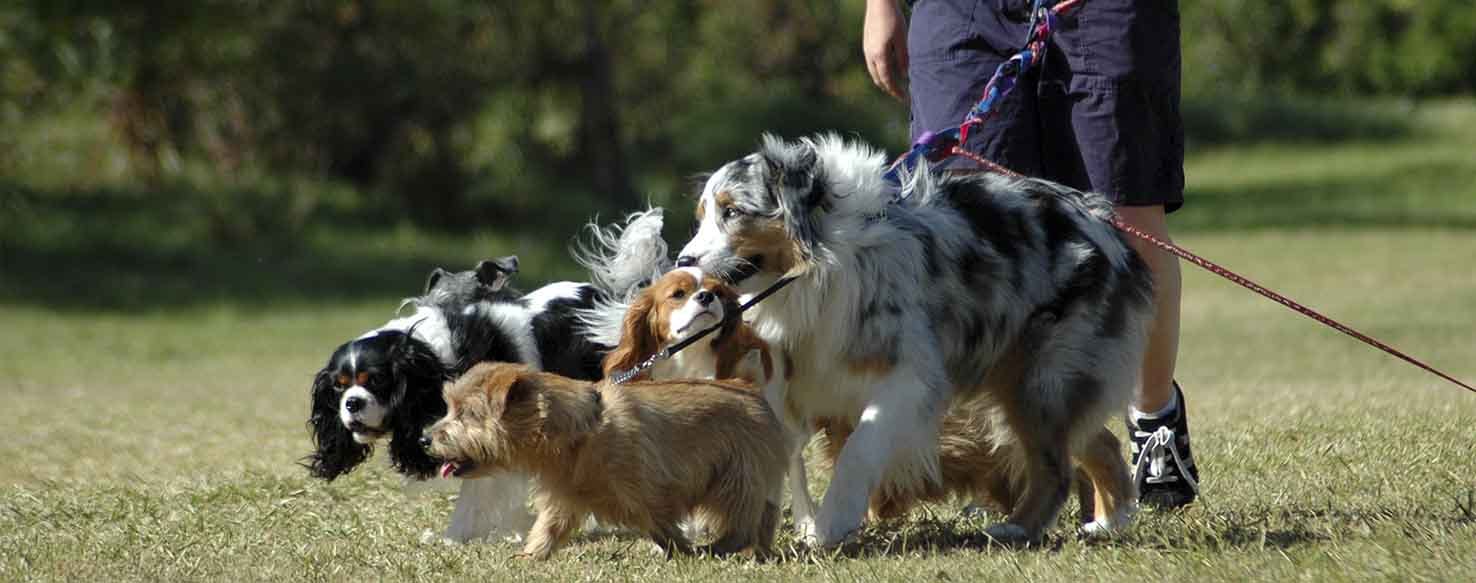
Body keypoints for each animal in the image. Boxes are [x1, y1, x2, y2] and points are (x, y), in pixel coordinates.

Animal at [305, 211, 676, 543]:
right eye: (339, 388)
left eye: (375, 381)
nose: (351, 404)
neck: (431, 359)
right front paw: (515, 529)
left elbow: (477, 491)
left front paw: (454, 539)